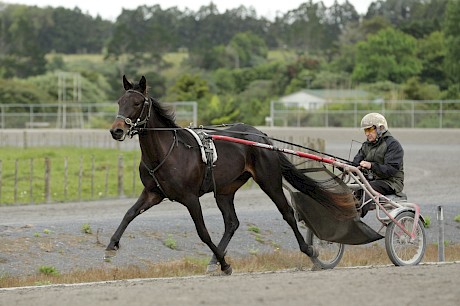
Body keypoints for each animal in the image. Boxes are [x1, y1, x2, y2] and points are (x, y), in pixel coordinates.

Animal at [107, 75, 356, 274]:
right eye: (119, 101)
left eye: (137, 103)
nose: (116, 130)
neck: (168, 151)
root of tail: (262, 136)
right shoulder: (153, 193)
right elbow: (129, 214)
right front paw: (111, 245)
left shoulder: (190, 197)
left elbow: (203, 232)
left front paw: (225, 264)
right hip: (225, 190)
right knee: (232, 223)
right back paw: (214, 260)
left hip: (269, 181)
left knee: (287, 212)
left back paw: (309, 250)